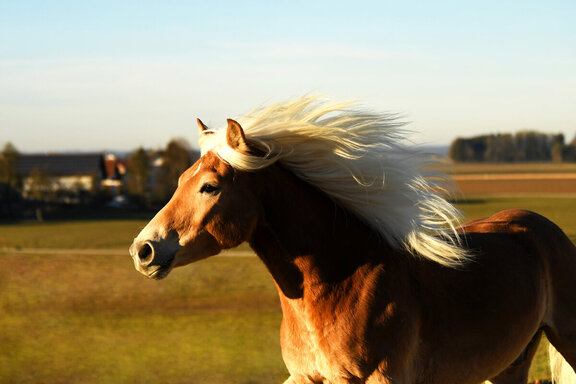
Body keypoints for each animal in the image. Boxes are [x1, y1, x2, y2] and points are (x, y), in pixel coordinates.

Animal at [129, 97, 576, 384]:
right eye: (180, 179)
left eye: (209, 187)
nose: (142, 250)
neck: (338, 284)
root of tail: (545, 229)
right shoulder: (305, 378)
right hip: (509, 363)